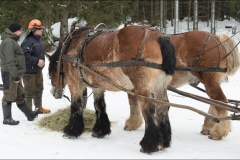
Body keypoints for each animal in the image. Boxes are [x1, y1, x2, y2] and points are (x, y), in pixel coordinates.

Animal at [48, 25, 176, 153]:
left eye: (50, 74)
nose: (54, 93)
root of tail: (158, 36)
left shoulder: (74, 82)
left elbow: (76, 106)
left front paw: (72, 131)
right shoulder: (97, 85)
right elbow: (99, 105)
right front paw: (100, 130)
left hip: (142, 86)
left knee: (148, 109)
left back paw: (149, 144)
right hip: (159, 85)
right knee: (162, 107)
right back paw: (164, 142)